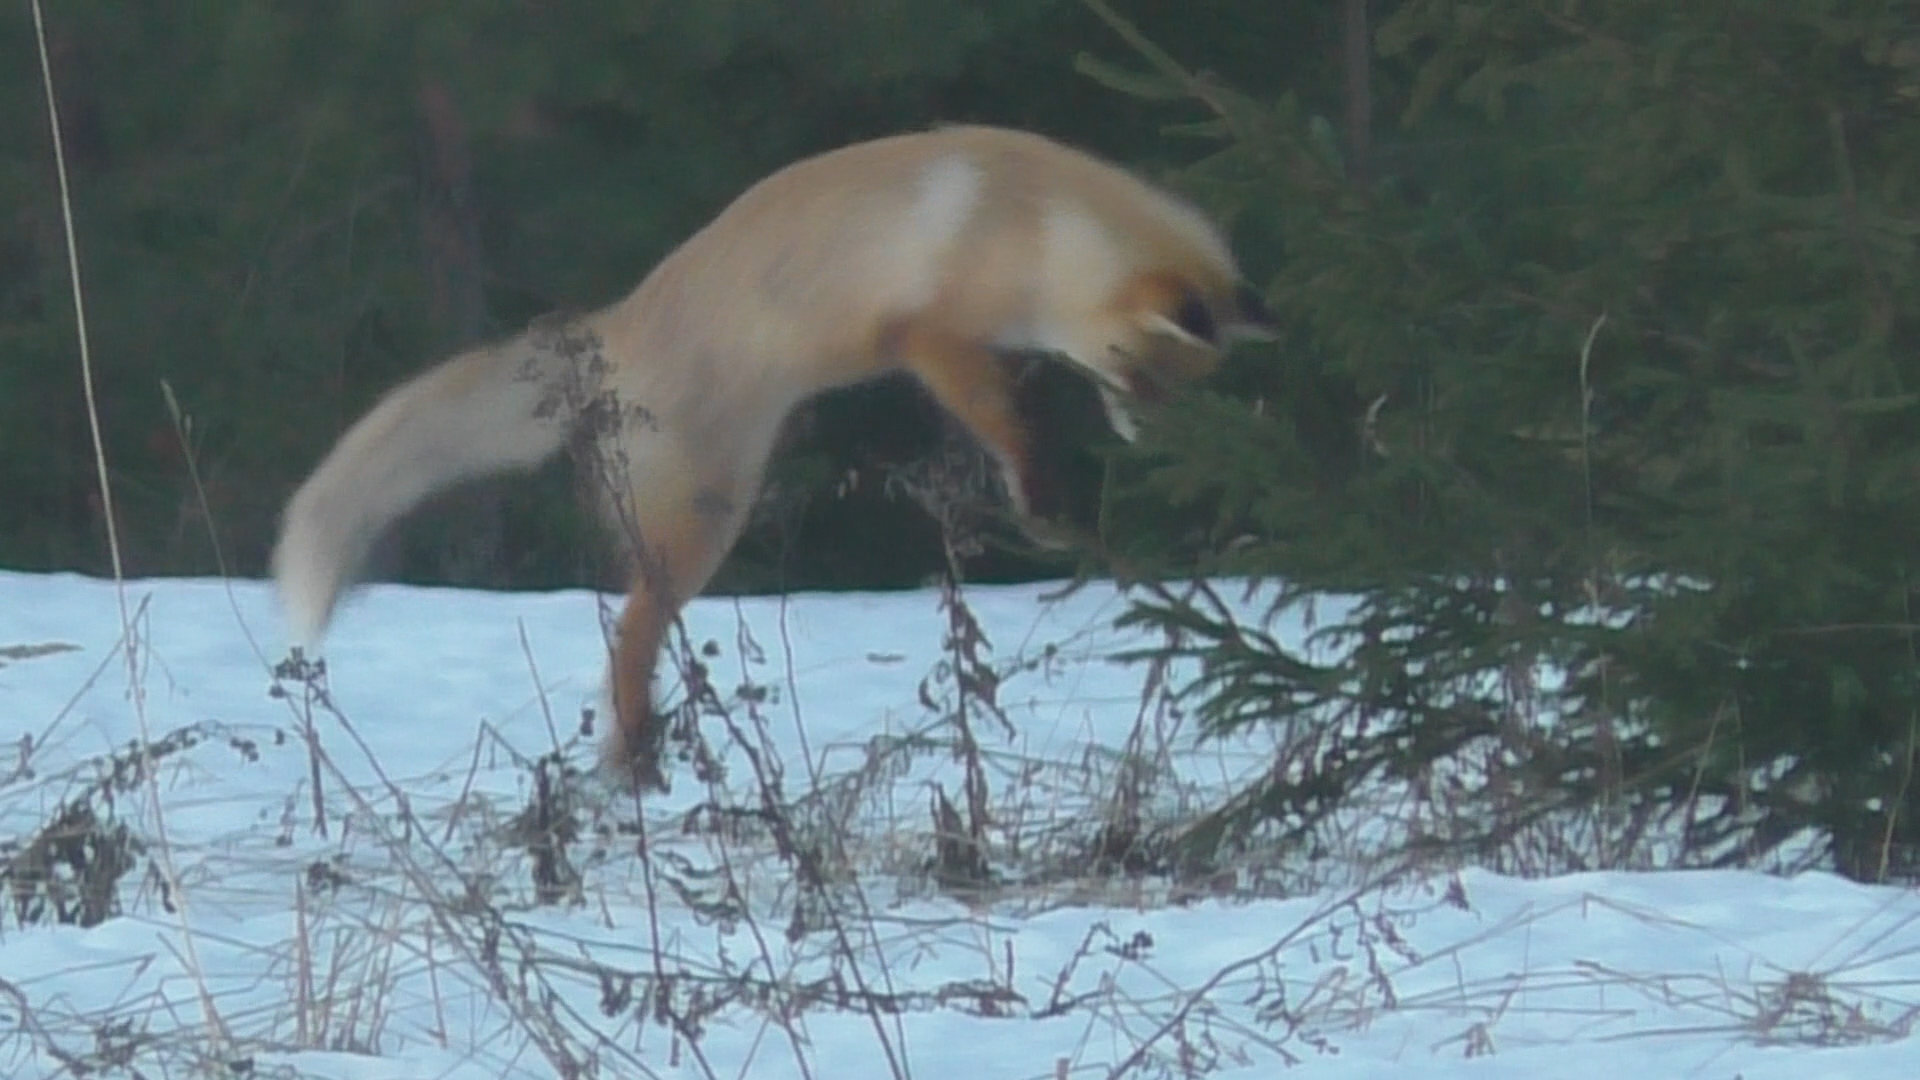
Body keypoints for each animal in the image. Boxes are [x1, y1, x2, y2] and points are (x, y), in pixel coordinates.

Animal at [270, 123, 1274, 780]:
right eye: (1143, 372)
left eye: (1188, 385)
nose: (1164, 437)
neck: (1035, 225)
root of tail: (611, 331)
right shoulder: (930, 335)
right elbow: (1005, 425)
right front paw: (1045, 501)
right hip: (702, 524)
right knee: (628, 639)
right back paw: (634, 763)